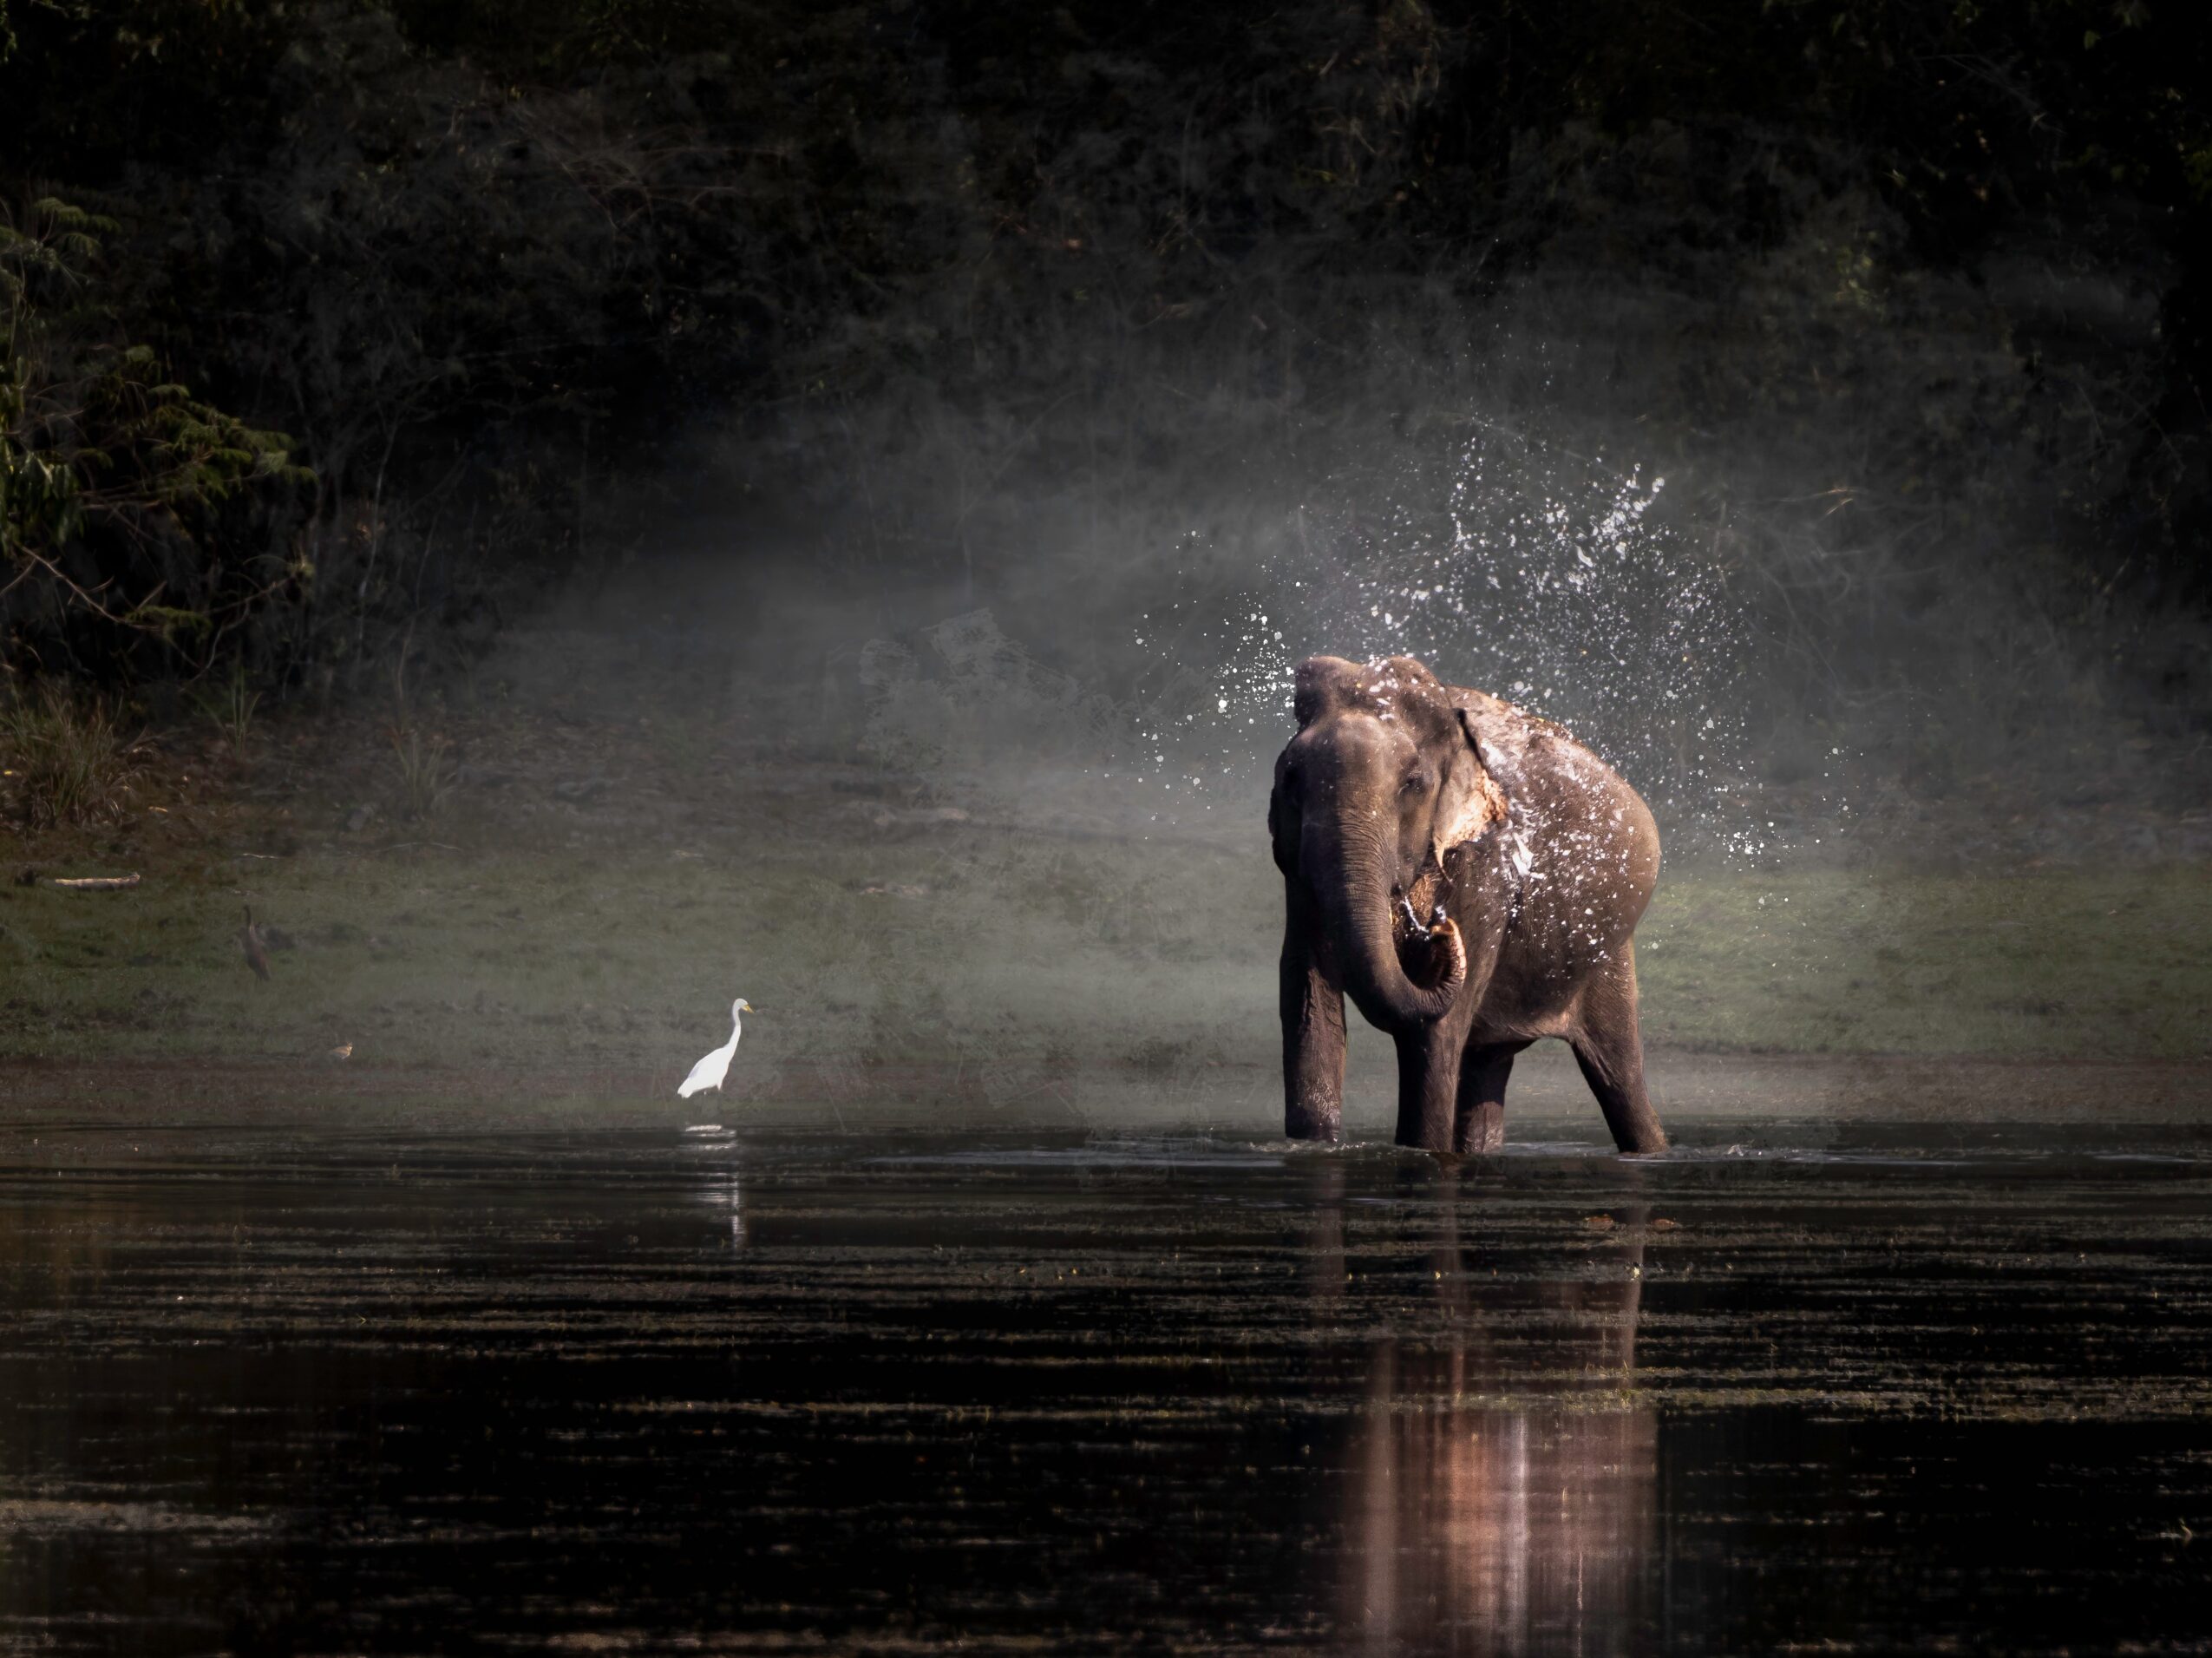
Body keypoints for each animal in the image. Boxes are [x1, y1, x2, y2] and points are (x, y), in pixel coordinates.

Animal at [1268, 653, 1668, 1155]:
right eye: (1290, 778)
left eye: (1413, 783)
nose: (1439, 928)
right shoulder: (1298, 873)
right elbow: (1309, 1004)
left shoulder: (1486, 867)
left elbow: (1435, 1035)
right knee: (1486, 1065)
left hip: (1607, 952)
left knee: (1619, 1077)